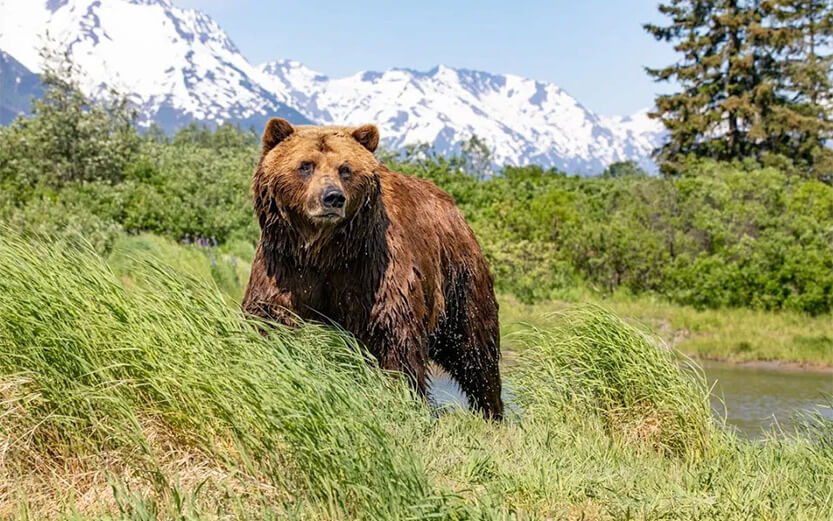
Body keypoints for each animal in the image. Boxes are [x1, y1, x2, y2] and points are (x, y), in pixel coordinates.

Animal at [242, 118, 503, 419]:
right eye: (306, 165)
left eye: (345, 169)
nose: (332, 198)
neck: (325, 251)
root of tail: (454, 209)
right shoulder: (285, 264)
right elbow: (270, 315)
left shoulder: (374, 270)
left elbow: (394, 339)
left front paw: (399, 396)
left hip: (459, 279)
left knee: (474, 347)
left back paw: (491, 411)